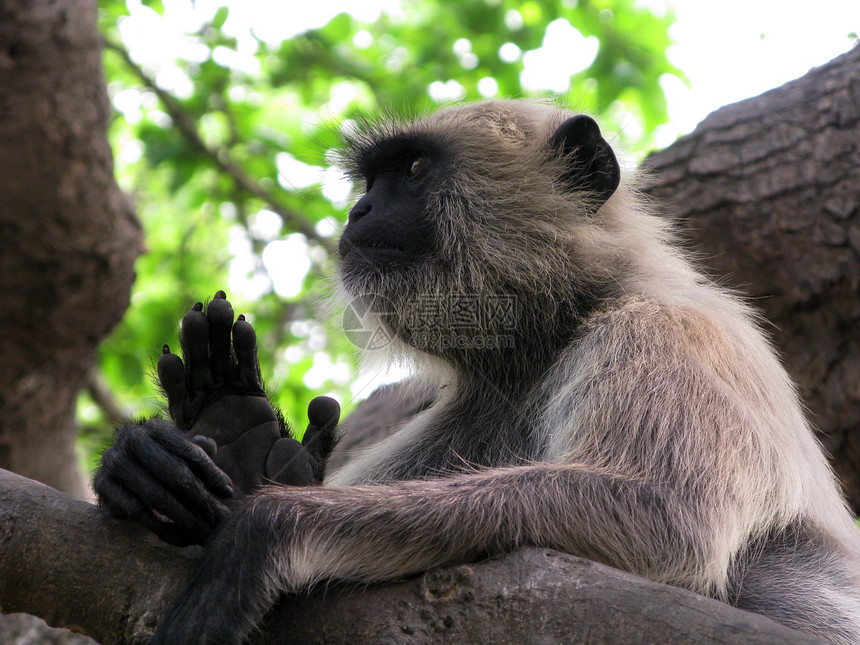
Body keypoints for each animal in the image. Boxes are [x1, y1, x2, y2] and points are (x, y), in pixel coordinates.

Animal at [117, 98, 860, 640]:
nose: (359, 210)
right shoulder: (483, 401)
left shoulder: (669, 332)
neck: (563, 324)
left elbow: (665, 519)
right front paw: (217, 444)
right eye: (372, 181)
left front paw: (268, 526)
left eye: (415, 168)